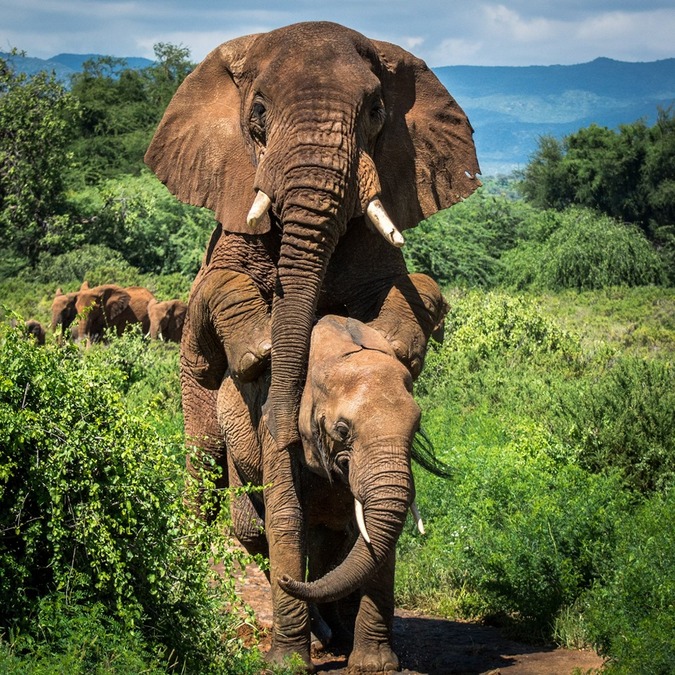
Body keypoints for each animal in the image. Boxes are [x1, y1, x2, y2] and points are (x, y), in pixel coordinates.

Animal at [145, 19, 478, 664]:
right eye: (258, 113)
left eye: (376, 111)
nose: (278, 422)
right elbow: (221, 282)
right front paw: (258, 352)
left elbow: (406, 286)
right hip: (195, 399)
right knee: (208, 465)